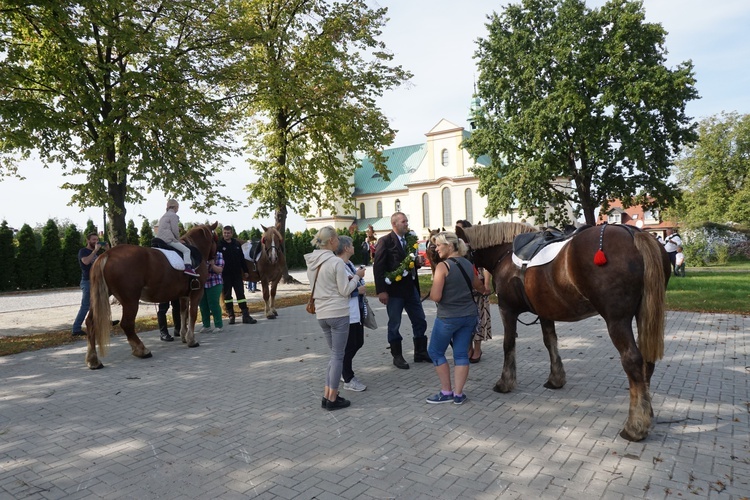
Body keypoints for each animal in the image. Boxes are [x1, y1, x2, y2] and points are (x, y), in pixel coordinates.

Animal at [84, 222, 217, 368]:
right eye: (216, 238)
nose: (215, 258)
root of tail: (108, 254)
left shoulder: (183, 296)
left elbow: (183, 314)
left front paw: (183, 336)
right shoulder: (196, 293)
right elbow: (192, 314)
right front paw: (191, 340)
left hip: (100, 297)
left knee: (91, 322)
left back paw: (93, 360)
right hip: (130, 301)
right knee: (127, 324)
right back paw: (142, 350)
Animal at [456, 223, 672, 442]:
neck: (505, 254)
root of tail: (634, 233)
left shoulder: (506, 309)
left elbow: (508, 344)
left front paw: (505, 382)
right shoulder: (544, 311)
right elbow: (550, 341)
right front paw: (556, 378)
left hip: (617, 321)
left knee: (633, 361)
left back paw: (635, 426)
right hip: (644, 314)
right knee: (647, 362)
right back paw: (646, 414)